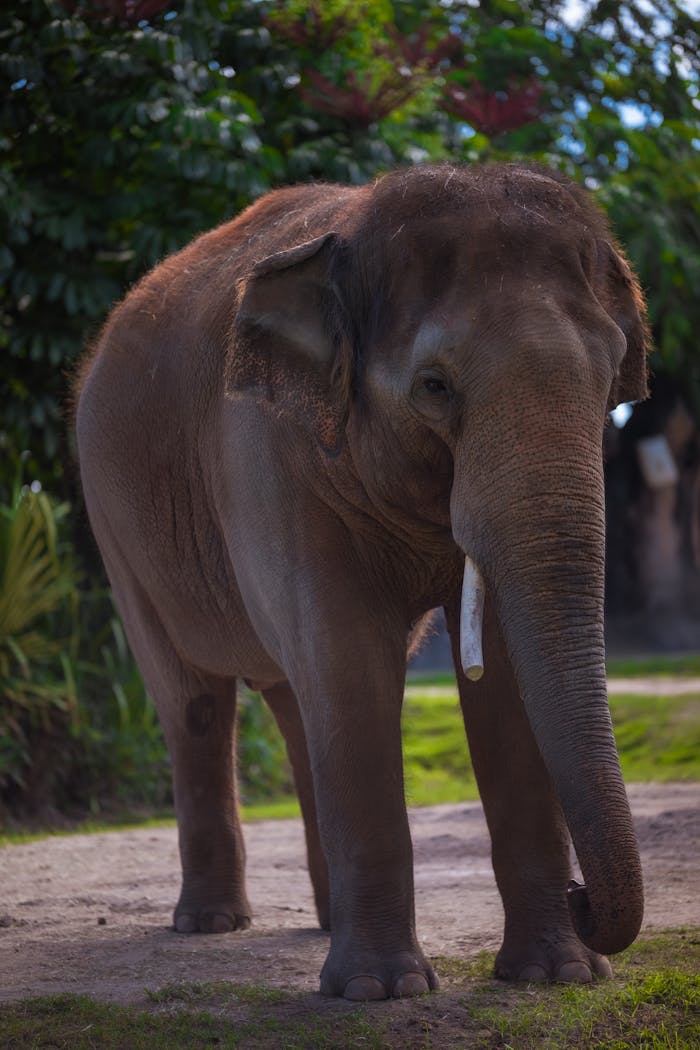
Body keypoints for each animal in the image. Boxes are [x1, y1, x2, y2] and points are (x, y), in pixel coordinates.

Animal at [75, 163, 648, 1001]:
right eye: (435, 386)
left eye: (612, 381)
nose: (583, 898)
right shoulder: (265, 450)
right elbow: (348, 656)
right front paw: (383, 992)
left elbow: (503, 676)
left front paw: (558, 975)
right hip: (113, 522)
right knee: (197, 704)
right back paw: (212, 924)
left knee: (292, 702)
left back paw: (319, 924)